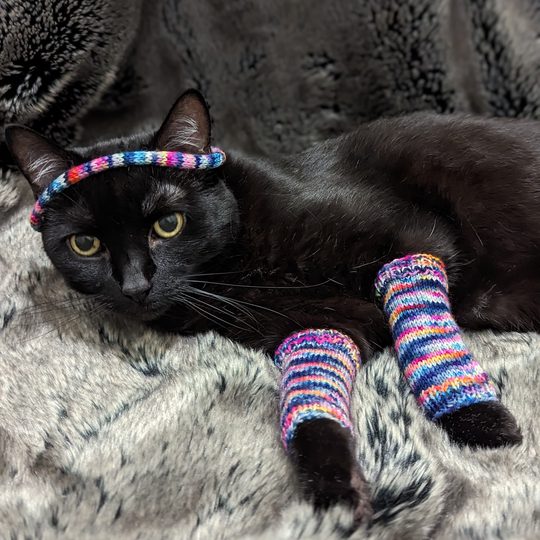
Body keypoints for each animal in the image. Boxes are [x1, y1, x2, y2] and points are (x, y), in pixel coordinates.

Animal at [5, 90, 536, 520]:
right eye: (86, 244)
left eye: (168, 225)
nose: (135, 284)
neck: (236, 275)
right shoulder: (317, 327)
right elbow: (310, 404)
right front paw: (334, 493)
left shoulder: (415, 245)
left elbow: (422, 331)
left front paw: (479, 419)